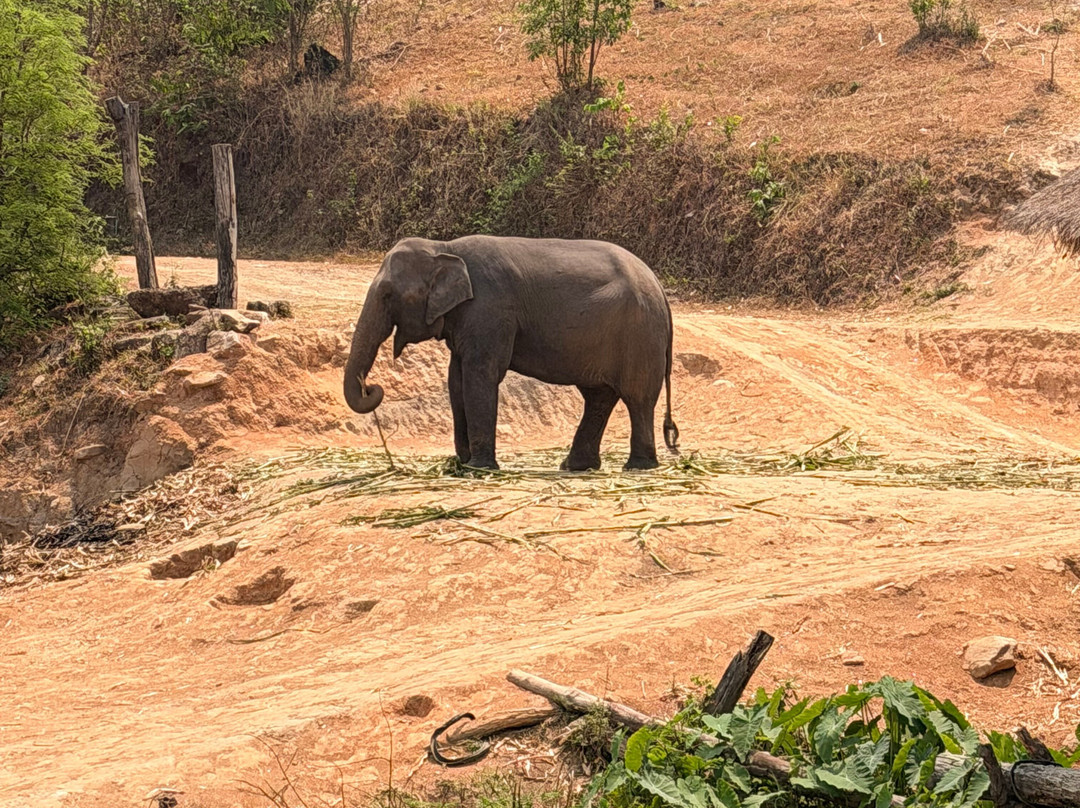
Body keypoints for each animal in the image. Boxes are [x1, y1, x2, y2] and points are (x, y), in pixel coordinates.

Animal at [343, 235, 679, 471]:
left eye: (388, 295)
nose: (372, 387)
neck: (444, 247)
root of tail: (660, 288)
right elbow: (456, 380)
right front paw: (462, 464)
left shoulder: (490, 311)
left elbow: (480, 376)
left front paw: (478, 468)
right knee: (599, 396)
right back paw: (576, 467)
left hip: (640, 333)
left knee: (637, 397)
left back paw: (638, 466)